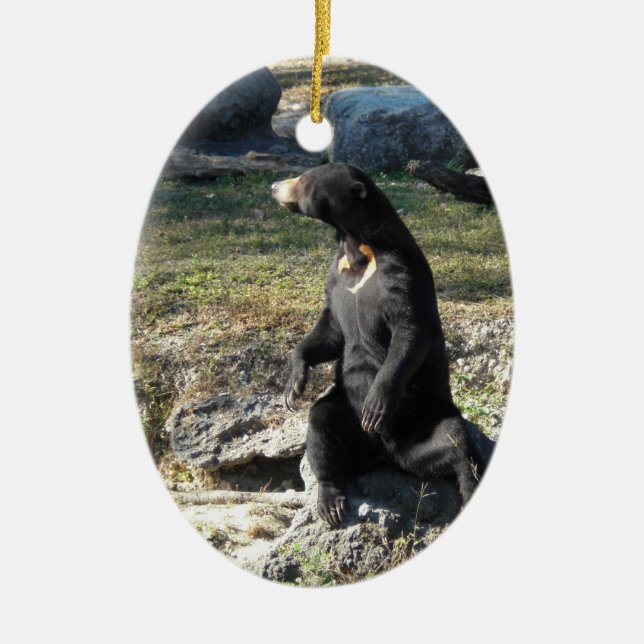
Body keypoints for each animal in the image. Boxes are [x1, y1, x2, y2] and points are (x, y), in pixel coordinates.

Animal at [272, 163, 485, 527]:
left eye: (303, 178)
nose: (274, 186)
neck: (356, 247)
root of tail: (384, 455)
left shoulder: (400, 273)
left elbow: (410, 329)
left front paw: (376, 402)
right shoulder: (335, 276)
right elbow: (332, 328)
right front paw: (293, 384)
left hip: (425, 415)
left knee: (456, 441)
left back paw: (468, 486)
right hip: (346, 409)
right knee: (322, 426)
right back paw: (331, 501)